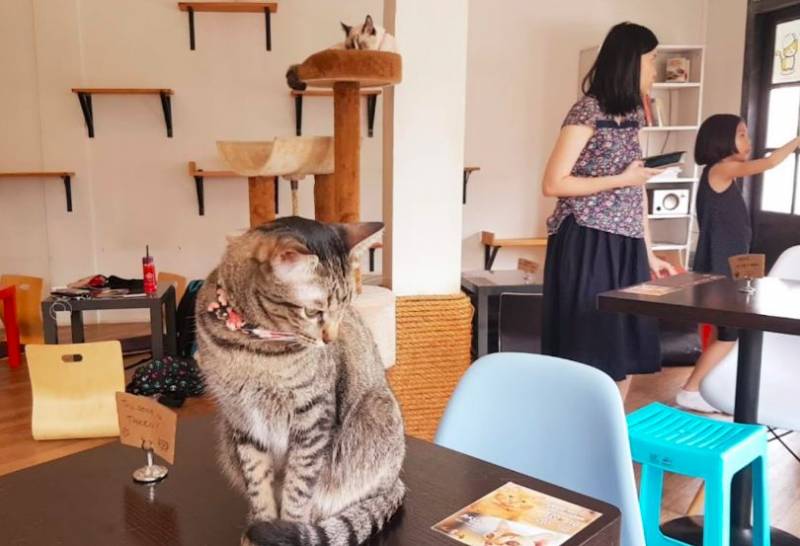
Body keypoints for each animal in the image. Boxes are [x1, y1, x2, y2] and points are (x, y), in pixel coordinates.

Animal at [195, 216, 405, 546]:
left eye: (345, 305)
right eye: (312, 311)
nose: (330, 338)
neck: (254, 345)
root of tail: (397, 480)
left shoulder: (312, 417)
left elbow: (298, 488)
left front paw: (286, 526)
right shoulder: (242, 419)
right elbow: (258, 482)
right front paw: (261, 523)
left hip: (376, 416)